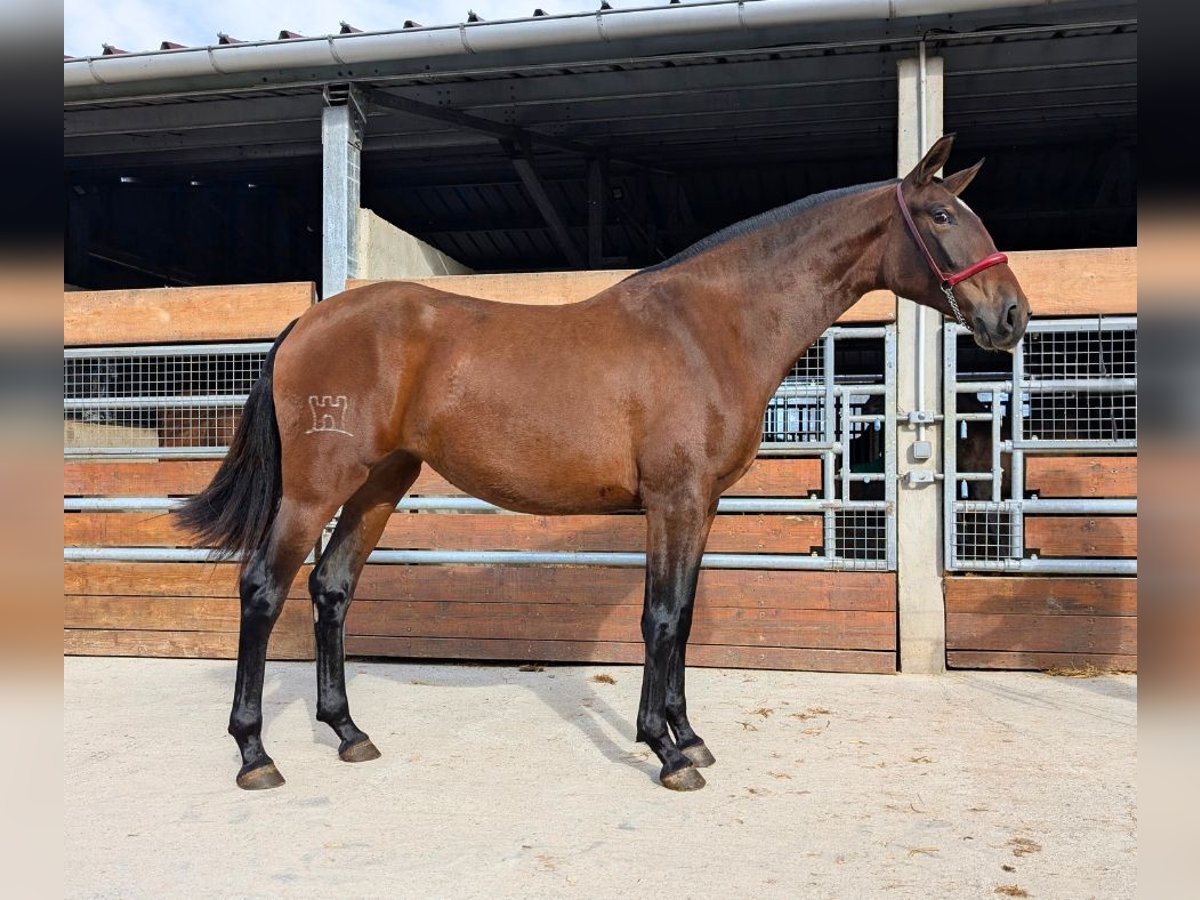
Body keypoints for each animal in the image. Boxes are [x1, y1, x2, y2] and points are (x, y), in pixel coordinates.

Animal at [177, 134, 1030, 792]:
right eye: (942, 215)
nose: (1012, 316)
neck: (711, 326)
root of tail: (308, 322)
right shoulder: (673, 499)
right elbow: (660, 619)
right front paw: (665, 753)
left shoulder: (700, 505)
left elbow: (683, 617)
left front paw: (688, 738)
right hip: (316, 489)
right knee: (262, 590)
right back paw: (256, 754)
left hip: (381, 484)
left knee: (331, 588)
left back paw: (348, 732)